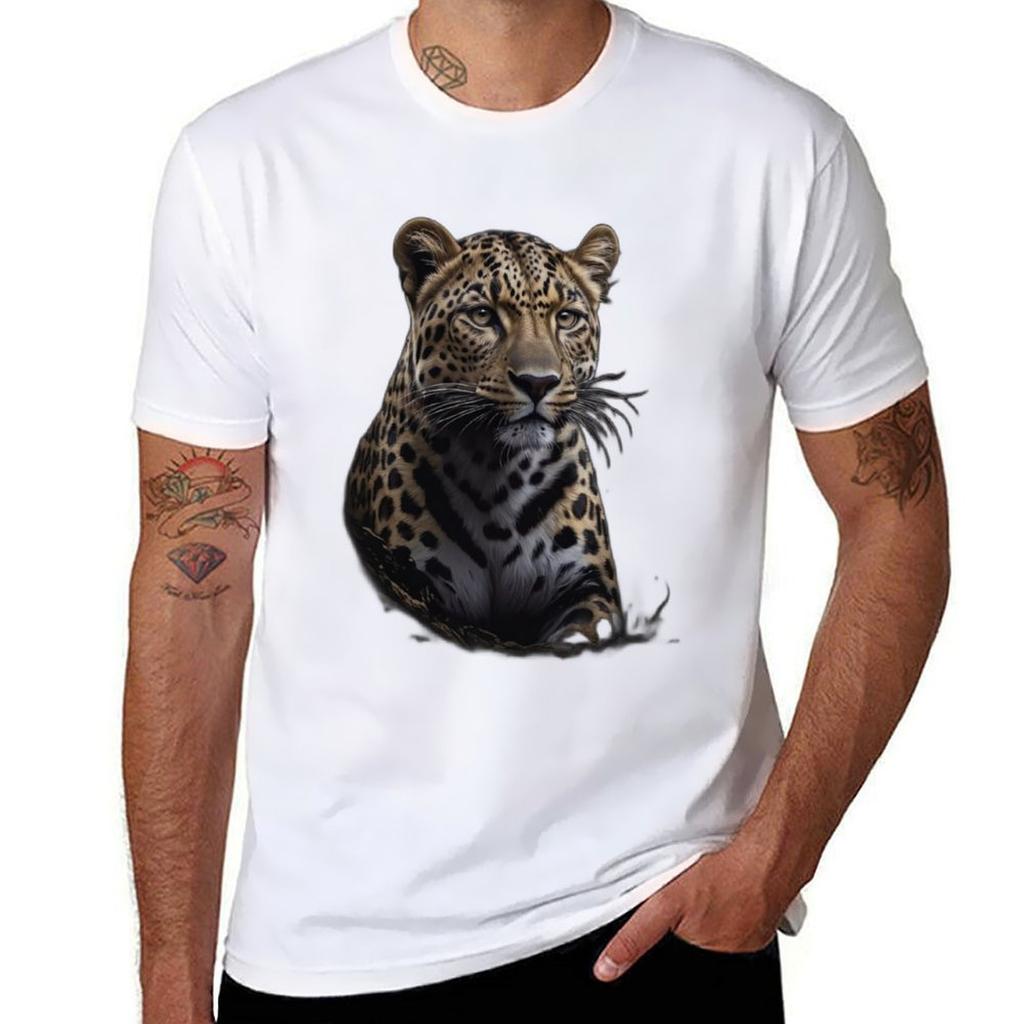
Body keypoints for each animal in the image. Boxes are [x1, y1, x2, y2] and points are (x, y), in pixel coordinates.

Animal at [343, 216, 645, 655]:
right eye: (483, 315)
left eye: (567, 318)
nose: (538, 382)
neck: (503, 475)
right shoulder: (420, 582)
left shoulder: (589, 586)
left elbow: (586, 631)